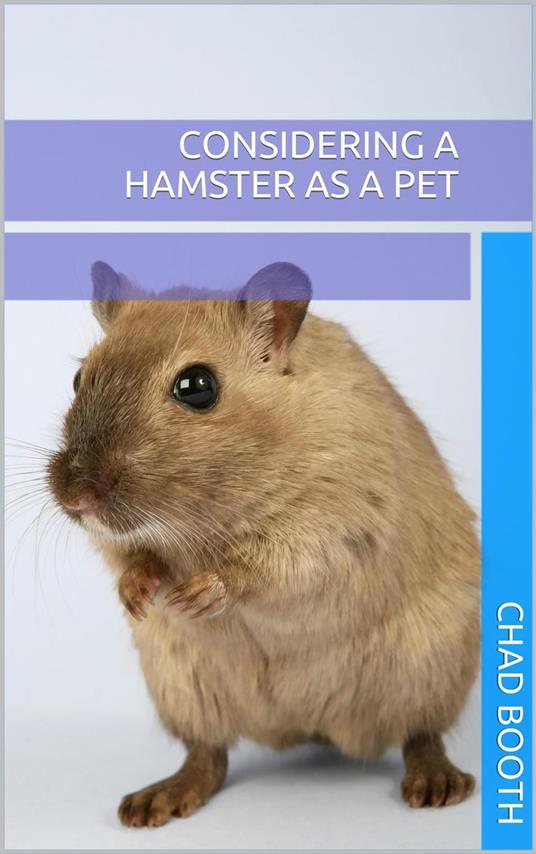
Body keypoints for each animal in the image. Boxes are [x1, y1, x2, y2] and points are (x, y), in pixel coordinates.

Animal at [48, 260, 480, 828]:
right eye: (79, 379)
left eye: (196, 386)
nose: (76, 498)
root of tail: (311, 727)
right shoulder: (124, 542)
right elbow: (132, 557)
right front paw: (138, 594)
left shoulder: (338, 523)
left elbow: (267, 568)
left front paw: (199, 594)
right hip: (181, 685)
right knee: (208, 754)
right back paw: (153, 802)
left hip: (430, 668)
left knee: (420, 734)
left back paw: (436, 784)